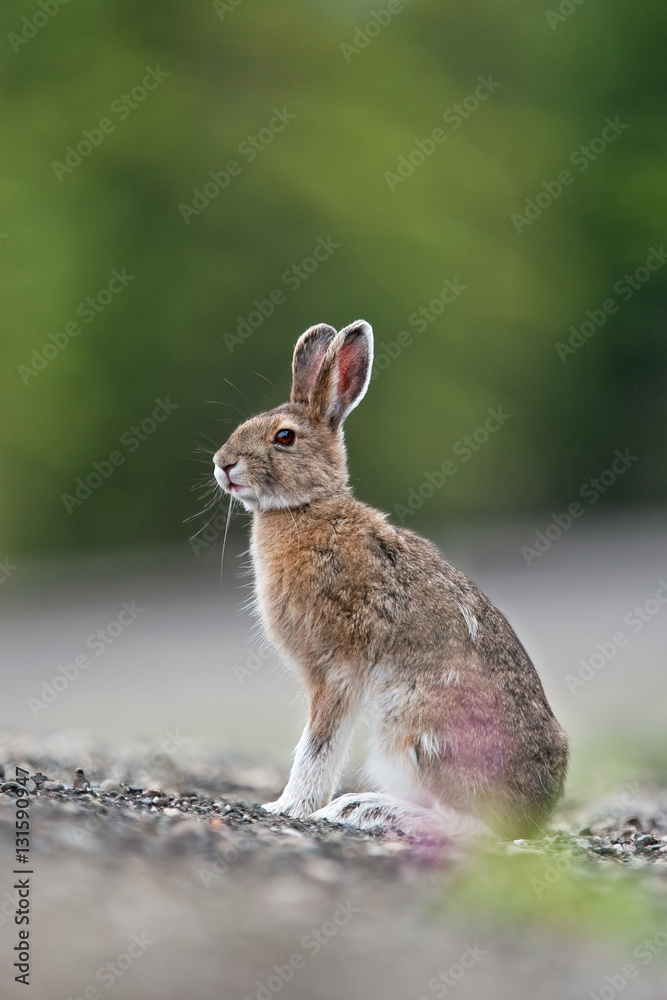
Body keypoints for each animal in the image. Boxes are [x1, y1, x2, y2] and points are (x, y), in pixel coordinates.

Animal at [213, 320, 568, 839]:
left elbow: (317, 745)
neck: (308, 508)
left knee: (466, 826)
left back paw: (361, 809)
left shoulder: (336, 671)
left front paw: (288, 807)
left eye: (284, 437)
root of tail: (530, 814)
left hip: (411, 727)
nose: (222, 463)